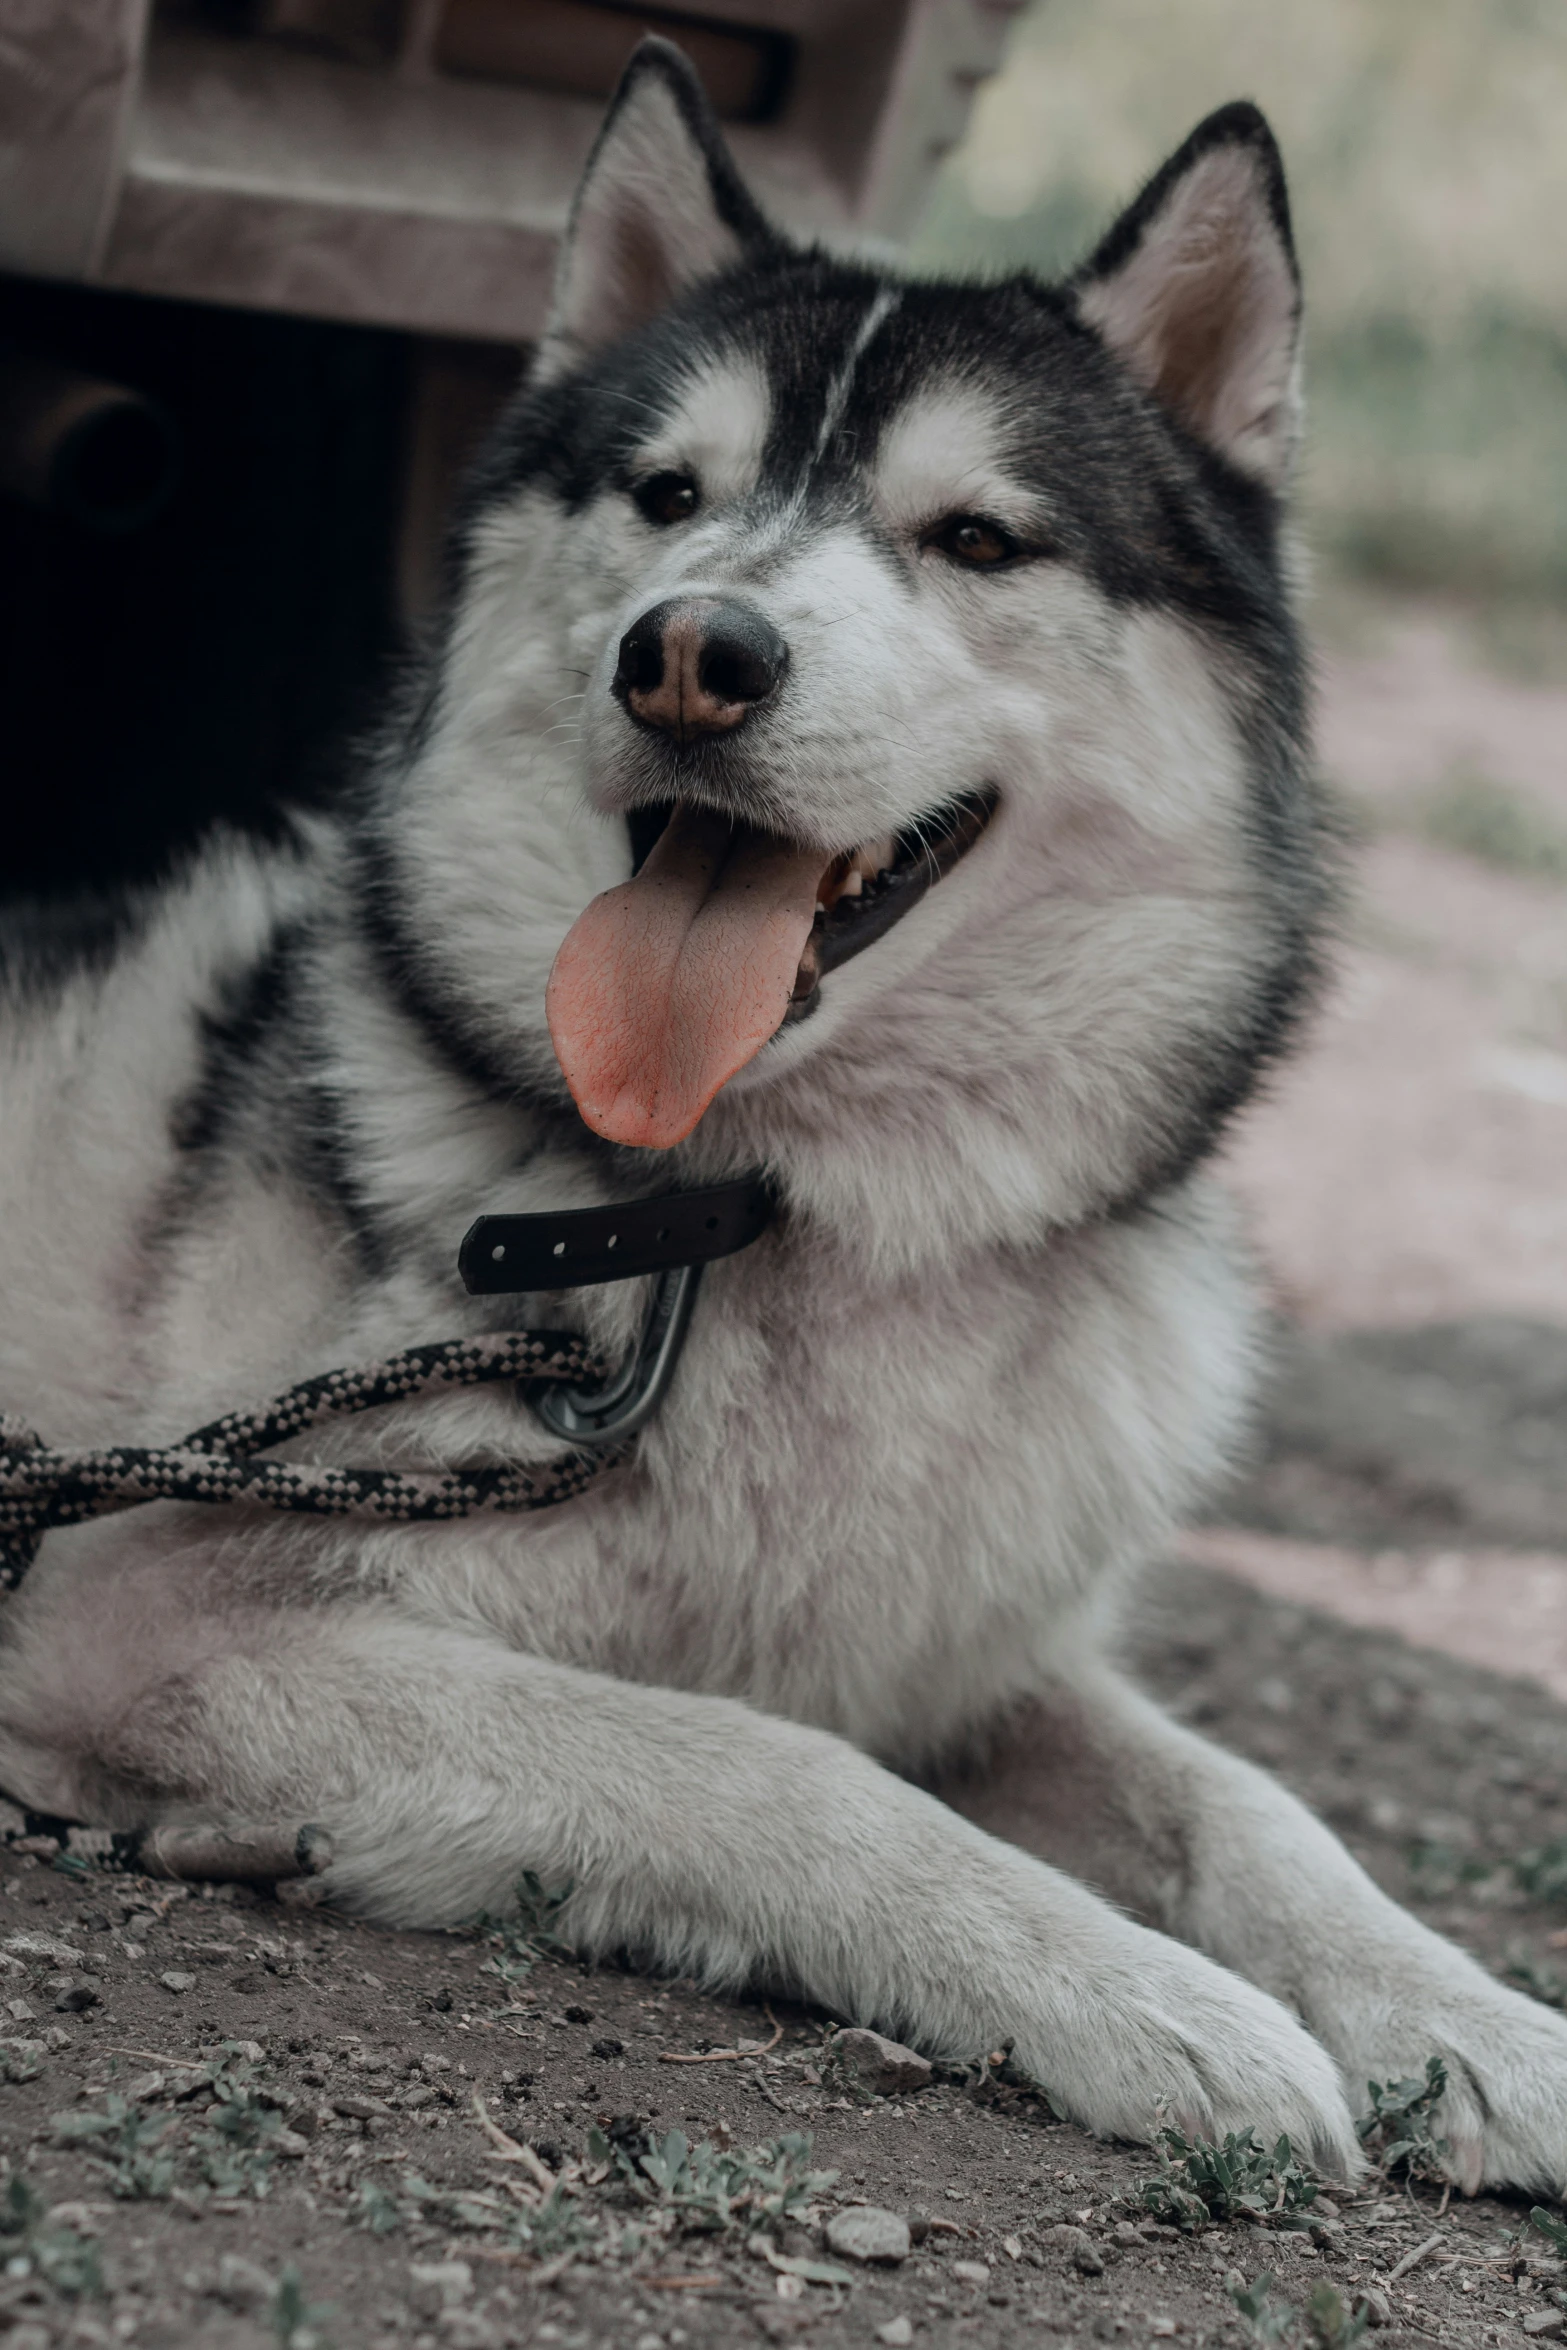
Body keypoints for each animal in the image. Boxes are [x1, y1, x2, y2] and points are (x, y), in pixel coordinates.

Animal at [3, 36, 1567, 2190]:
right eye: (672, 495)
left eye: (977, 538)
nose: (691, 648)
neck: (756, 1215)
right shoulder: (143, 1616)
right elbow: (758, 1751)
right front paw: (1142, 1998)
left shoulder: (980, 1654)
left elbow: (1247, 1796)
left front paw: (1472, 2012)